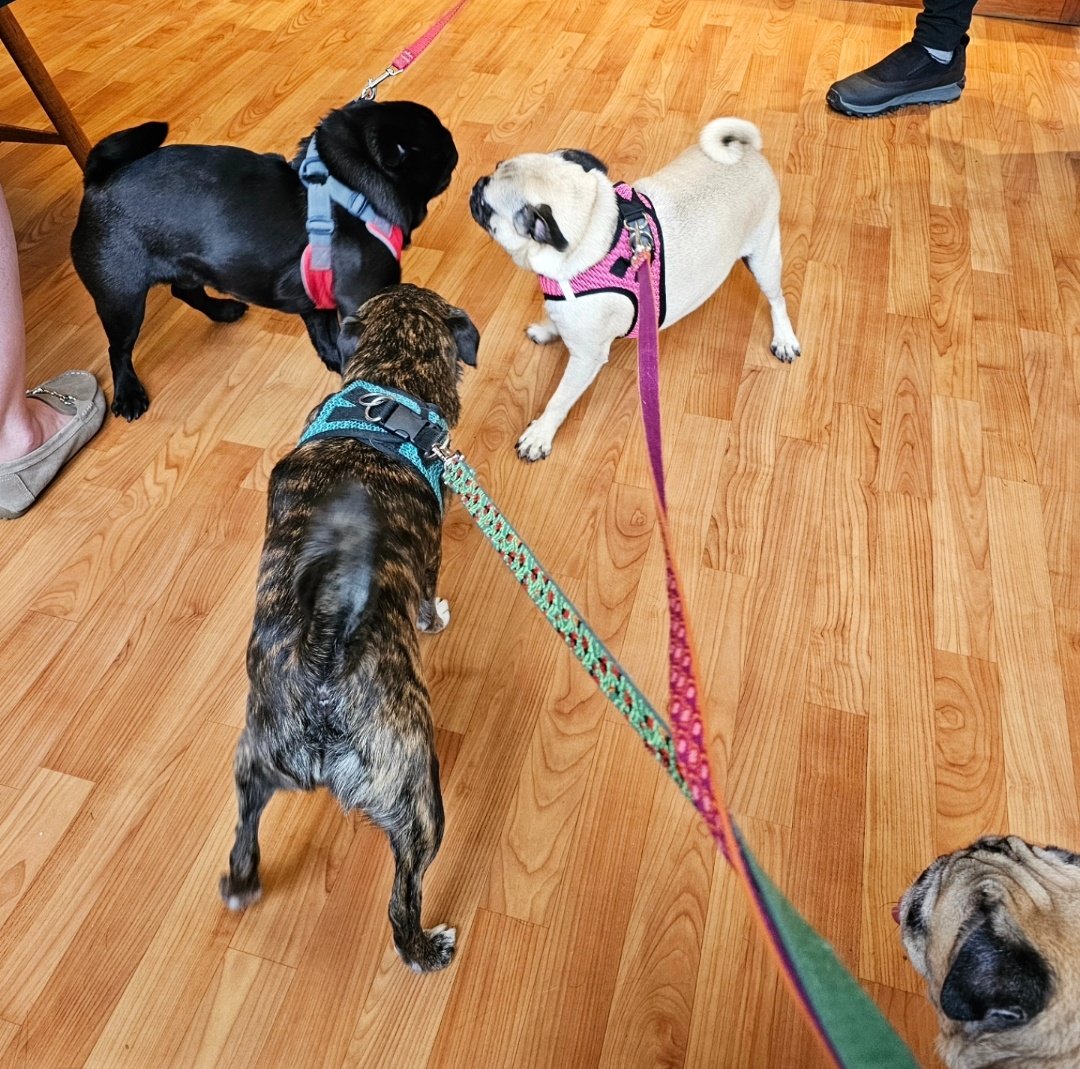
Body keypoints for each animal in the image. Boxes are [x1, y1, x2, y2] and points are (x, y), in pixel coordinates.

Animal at [221, 287, 479, 980]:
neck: (387, 389)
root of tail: (322, 663)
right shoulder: (430, 556)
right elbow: (427, 595)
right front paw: (434, 619)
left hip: (255, 756)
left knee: (244, 833)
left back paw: (241, 886)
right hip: (418, 795)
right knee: (403, 900)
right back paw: (427, 949)